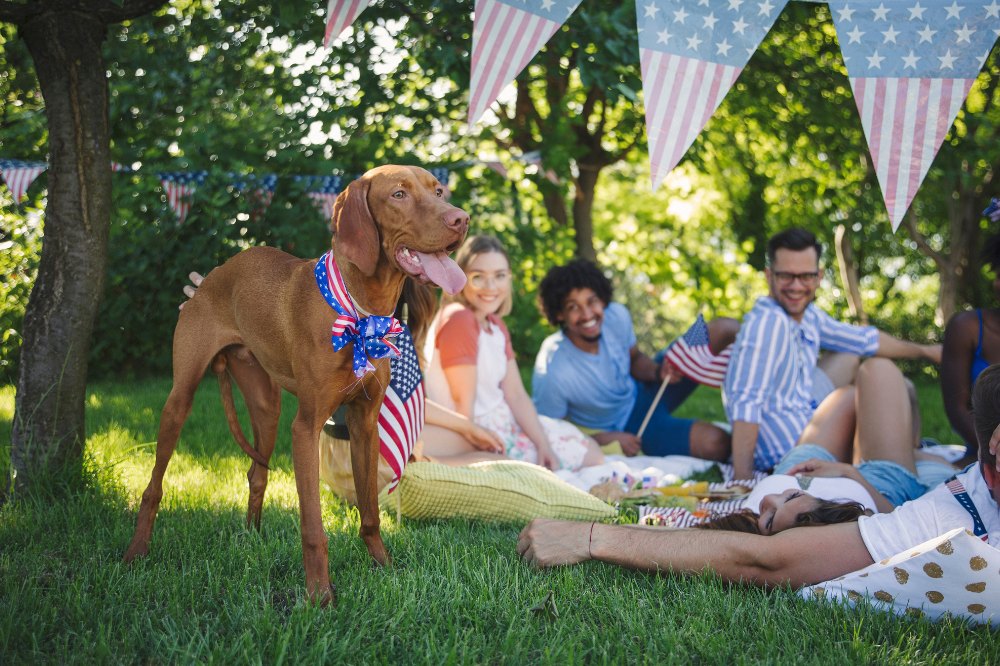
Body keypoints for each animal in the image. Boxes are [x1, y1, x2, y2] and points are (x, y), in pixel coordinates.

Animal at [124, 165, 468, 600]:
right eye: (399, 194)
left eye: (438, 191)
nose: (461, 218)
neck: (360, 310)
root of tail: (211, 277)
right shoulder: (305, 428)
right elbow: (313, 528)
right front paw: (320, 596)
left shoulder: (365, 423)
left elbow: (370, 512)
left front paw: (384, 568)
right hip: (179, 400)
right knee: (154, 486)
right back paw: (136, 551)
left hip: (266, 406)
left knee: (257, 473)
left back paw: (251, 539)